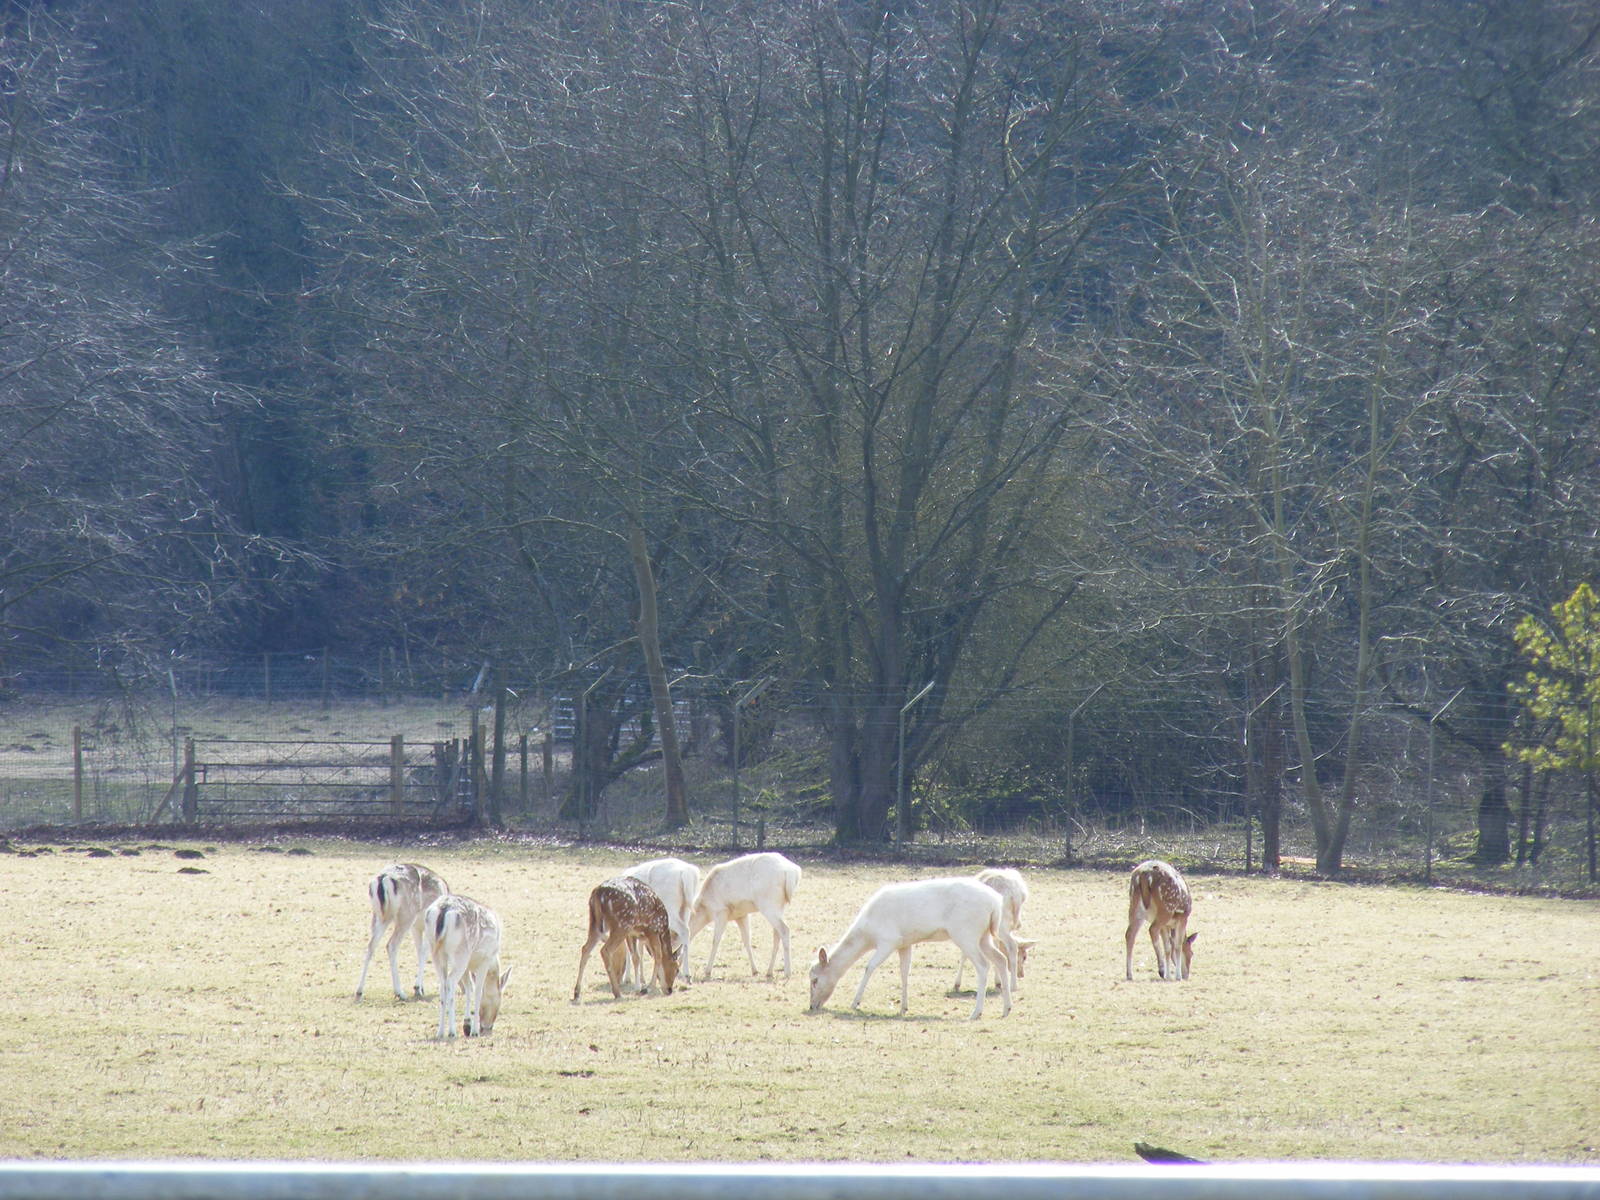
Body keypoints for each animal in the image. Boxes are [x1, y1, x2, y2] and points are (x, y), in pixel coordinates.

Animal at [356, 862, 448, 1001]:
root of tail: (384, 879)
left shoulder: (416, 928)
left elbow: (420, 951)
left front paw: (420, 987)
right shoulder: (428, 927)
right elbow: (424, 952)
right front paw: (418, 988)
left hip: (380, 916)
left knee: (371, 945)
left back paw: (359, 991)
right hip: (406, 915)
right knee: (391, 945)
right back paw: (400, 992)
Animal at [423, 894, 508, 1038]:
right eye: (499, 1000)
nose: (488, 1028)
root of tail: (444, 910)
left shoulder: (467, 966)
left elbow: (469, 988)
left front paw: (466, 1025)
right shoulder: (484, 960)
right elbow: (478, 991)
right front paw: (474, 1031)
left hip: (436, 952)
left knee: (442, 984)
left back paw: (440, 1031)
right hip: (460, 953)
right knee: (450, 982)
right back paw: (452, 1032)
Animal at [688, 851, 802, 981]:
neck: (706, 909)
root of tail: (793, 872)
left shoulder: (721, 912)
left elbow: (716, 940)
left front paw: (707, 971)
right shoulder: (741, 915)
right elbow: (747, 940)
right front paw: (754, 970)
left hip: (768, 905)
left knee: (785, 930)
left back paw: (787, 973)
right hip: (779, 907)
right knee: (776, 934)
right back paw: (769, 972)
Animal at [808, 877, 1013, 1020]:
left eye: (815, 980)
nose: (812, 1006)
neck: (867, 934)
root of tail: (996, 903)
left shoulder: (888, 940)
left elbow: (870, 967)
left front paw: (855, 1003)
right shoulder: (904, 943)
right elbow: (904, 972)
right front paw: (903, 1007)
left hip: (966, 933)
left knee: (983, 965)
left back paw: (976, 1012)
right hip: (984, 936)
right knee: (1001, 959)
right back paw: (1006, 1009)